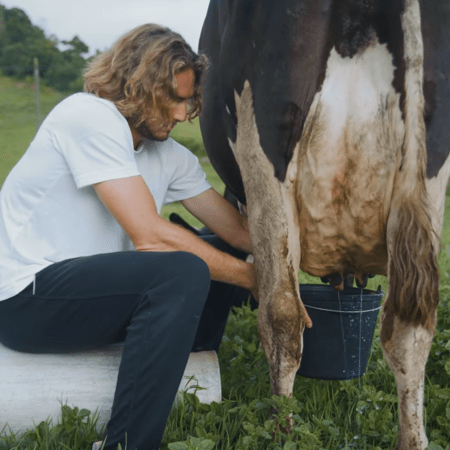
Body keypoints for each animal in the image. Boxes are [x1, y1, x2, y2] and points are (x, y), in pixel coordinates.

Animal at [200, 0, 450, 450]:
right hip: (431, 169)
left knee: (282, 316)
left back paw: (281, 430)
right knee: (410, 331)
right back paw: (412, 438)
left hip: (264, 147)